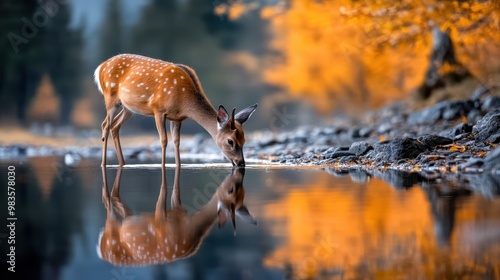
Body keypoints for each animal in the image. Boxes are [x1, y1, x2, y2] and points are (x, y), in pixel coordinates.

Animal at [94, 53, 258, 167]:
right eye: (230, 141)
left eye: (244, 139)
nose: (241, 163)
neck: (184, 101)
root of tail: (99, 67)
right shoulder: (158, 110)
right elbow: (163, 140)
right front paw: (163, 166)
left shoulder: (177, 118)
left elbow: (177, 142)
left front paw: (178, 165)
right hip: (110, 98)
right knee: (105, 125)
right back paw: (103, 164)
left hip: (129, 108)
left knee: (115, 126)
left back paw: (122, 163)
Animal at [97, 166, 256, 266]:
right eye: (231, 190)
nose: (239, 168)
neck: (191, 225)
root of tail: (101, 251)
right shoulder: (163, 220)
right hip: (111, 227)